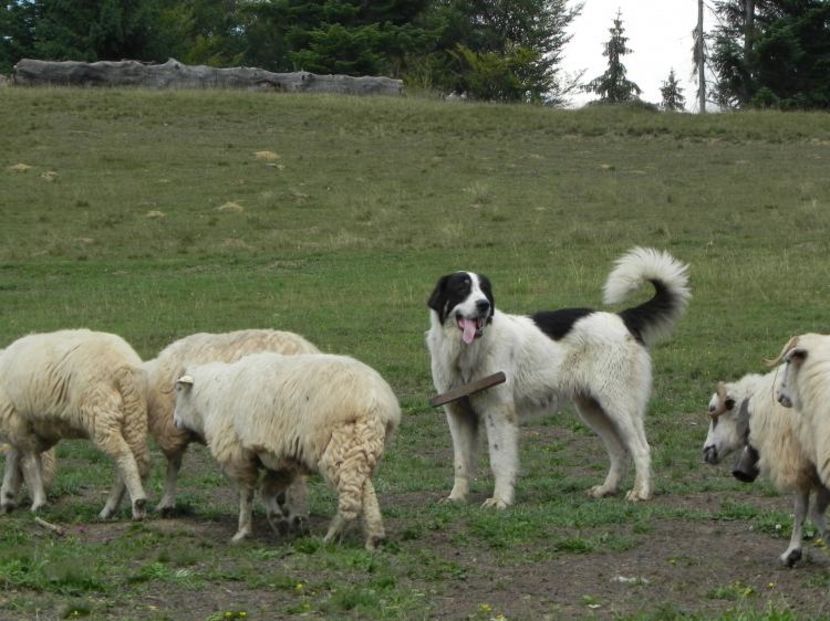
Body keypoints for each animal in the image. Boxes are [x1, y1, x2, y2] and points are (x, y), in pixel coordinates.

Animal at [0, 330, 148, 520]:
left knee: (124, 456)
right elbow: (13, 463)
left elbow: (30, 463)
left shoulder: (17, 424)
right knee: (132, 460)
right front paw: (7, 498)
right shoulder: (19, 431)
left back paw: (137, 504)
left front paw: (38, 502)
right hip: (134, 414)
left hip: (101, 414)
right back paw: (110, 509)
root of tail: (124, 364)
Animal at [141, 326, 320, 524]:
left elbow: (173, 466)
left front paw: (166, 504)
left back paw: (297, 515)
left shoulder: (171, 430)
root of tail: (308, 349)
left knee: (299, 477)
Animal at [174, 352, 402, 548]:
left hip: (341, 447)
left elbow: (246, 494)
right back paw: (374, 537)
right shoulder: (281, 458)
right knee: (366, 490)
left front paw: (243, 531)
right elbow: (267, 490)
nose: (175, 422)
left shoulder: (235, 453)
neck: (211, 396)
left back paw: (331, 537)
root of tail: (378, 401)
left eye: (178, 390)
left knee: (350, 499)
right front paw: (280, 522)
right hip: (362, 447)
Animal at [426, 245, 692, 506]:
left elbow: (499, 460)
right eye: (462, 288)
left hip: (618, 405)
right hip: (593, 409)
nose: (484, 305)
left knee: (641, 448)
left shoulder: (498, 413)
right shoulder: (458, 413)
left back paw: (641, 492)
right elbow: (461, 462)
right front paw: (456, 497)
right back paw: (607, 489)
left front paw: (500, 499)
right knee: (619, 450)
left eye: (484, 290)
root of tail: (622, 317)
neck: (466, 354)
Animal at [704, 370, 830, 564]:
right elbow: (811, 511)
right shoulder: (813, 467)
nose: (705, 452)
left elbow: (803, 510)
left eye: (714, 413)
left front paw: (792, 552)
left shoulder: (798, 461)